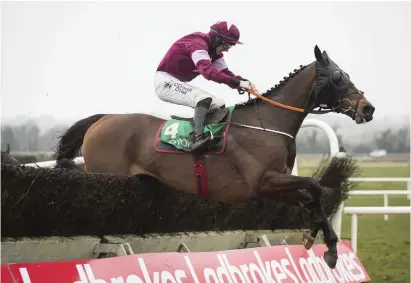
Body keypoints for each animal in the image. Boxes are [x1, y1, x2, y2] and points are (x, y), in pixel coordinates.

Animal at [53, 45, 374, 270]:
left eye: (346, 74)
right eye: (338, 77)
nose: (368, 108)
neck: (266, 124)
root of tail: (102, 119)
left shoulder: (273, 187)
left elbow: (311, 195)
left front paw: (320, 241)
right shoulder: (262, 182)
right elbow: (314, 186)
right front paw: (327, 245)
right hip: (105, 173)